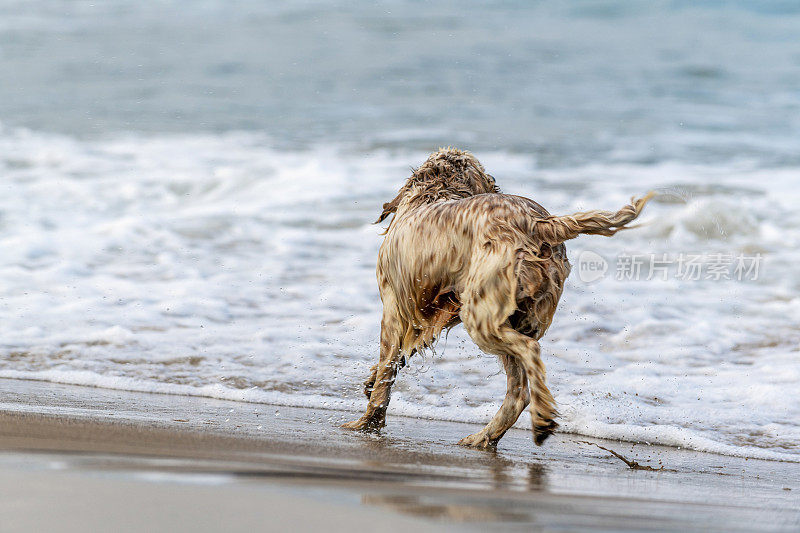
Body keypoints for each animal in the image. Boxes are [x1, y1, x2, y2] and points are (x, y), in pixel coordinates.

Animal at [342, 148, 648, 446]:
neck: (437, 190)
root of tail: (539, 224)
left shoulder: (394, 309)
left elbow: (387, 371)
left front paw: (367, 422)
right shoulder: (436, 314)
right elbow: (398, 359)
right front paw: (369, 385)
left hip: (480, 317)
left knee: (529, 355)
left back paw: (541, 420)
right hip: (517, 317)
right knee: (518, 392)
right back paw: (486, 436)